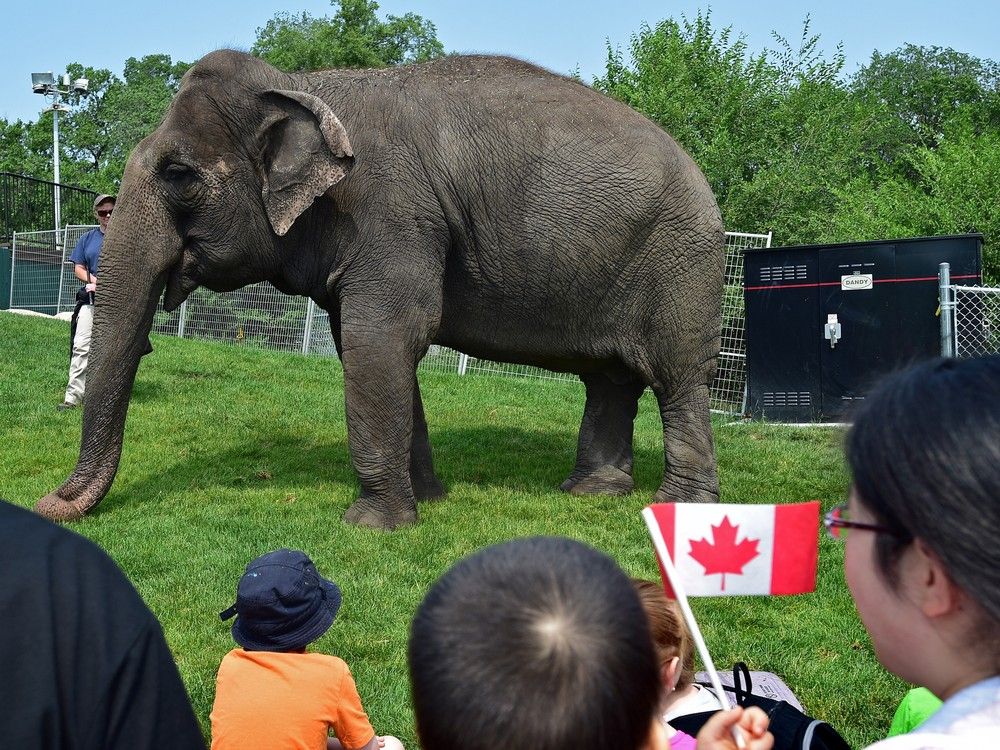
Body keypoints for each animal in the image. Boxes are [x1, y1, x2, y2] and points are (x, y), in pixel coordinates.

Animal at [37, 50, 728, 532]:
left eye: (179, 174)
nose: (47, 502)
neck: (308, 85)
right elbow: (369, 348)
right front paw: (427, 499)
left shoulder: (391, 218)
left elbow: (383, 340)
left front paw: (372, 525)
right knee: (610, 379)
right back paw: (591, 492)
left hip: (682, 265)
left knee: (677, 378)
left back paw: (678, 509)